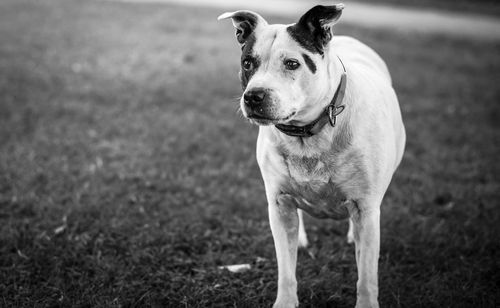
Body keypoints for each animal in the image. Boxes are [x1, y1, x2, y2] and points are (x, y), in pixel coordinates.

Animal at [219, 4, 406, 308]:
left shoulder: (366, 209)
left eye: (292, 63)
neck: (307, 135)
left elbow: (366, 276)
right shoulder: (280, 204)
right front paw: (285, 301)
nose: (254, 96)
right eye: (248, 63)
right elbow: (286, 269)